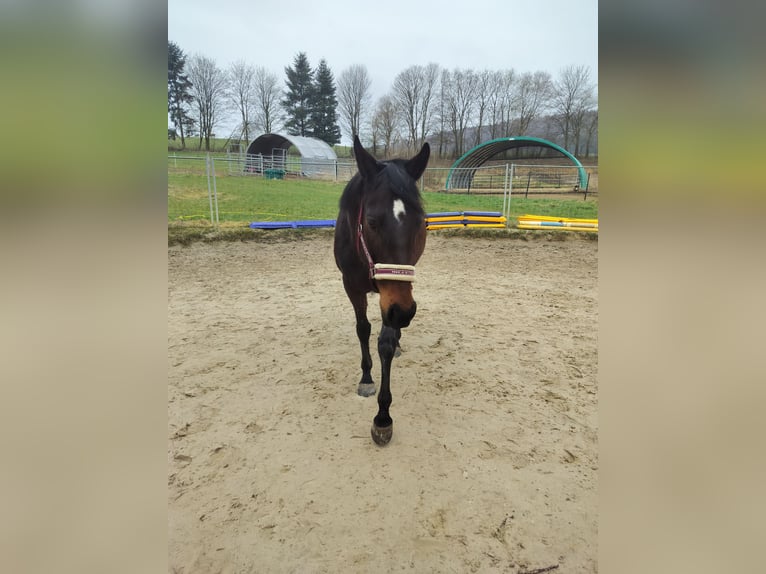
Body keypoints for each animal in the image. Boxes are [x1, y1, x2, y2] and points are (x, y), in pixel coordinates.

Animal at [334, 135, 430, 445]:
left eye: (422, 222)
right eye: (372, 221)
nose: (403, 312)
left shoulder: (394, 297)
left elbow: (385, 342)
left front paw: (383, 417)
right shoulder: (351, 286)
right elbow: (362, 329)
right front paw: (366, 377)